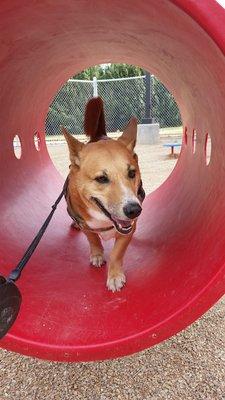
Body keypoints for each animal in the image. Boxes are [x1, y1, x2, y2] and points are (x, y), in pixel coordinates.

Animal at [62, 97, 145, 290]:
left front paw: (114, 276)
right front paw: (97, 255)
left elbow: (116, 253)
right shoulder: (86, 225)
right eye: (101, 178)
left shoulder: (128, 229)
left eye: (132, 173)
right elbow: (93, 239)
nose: (134, 210)